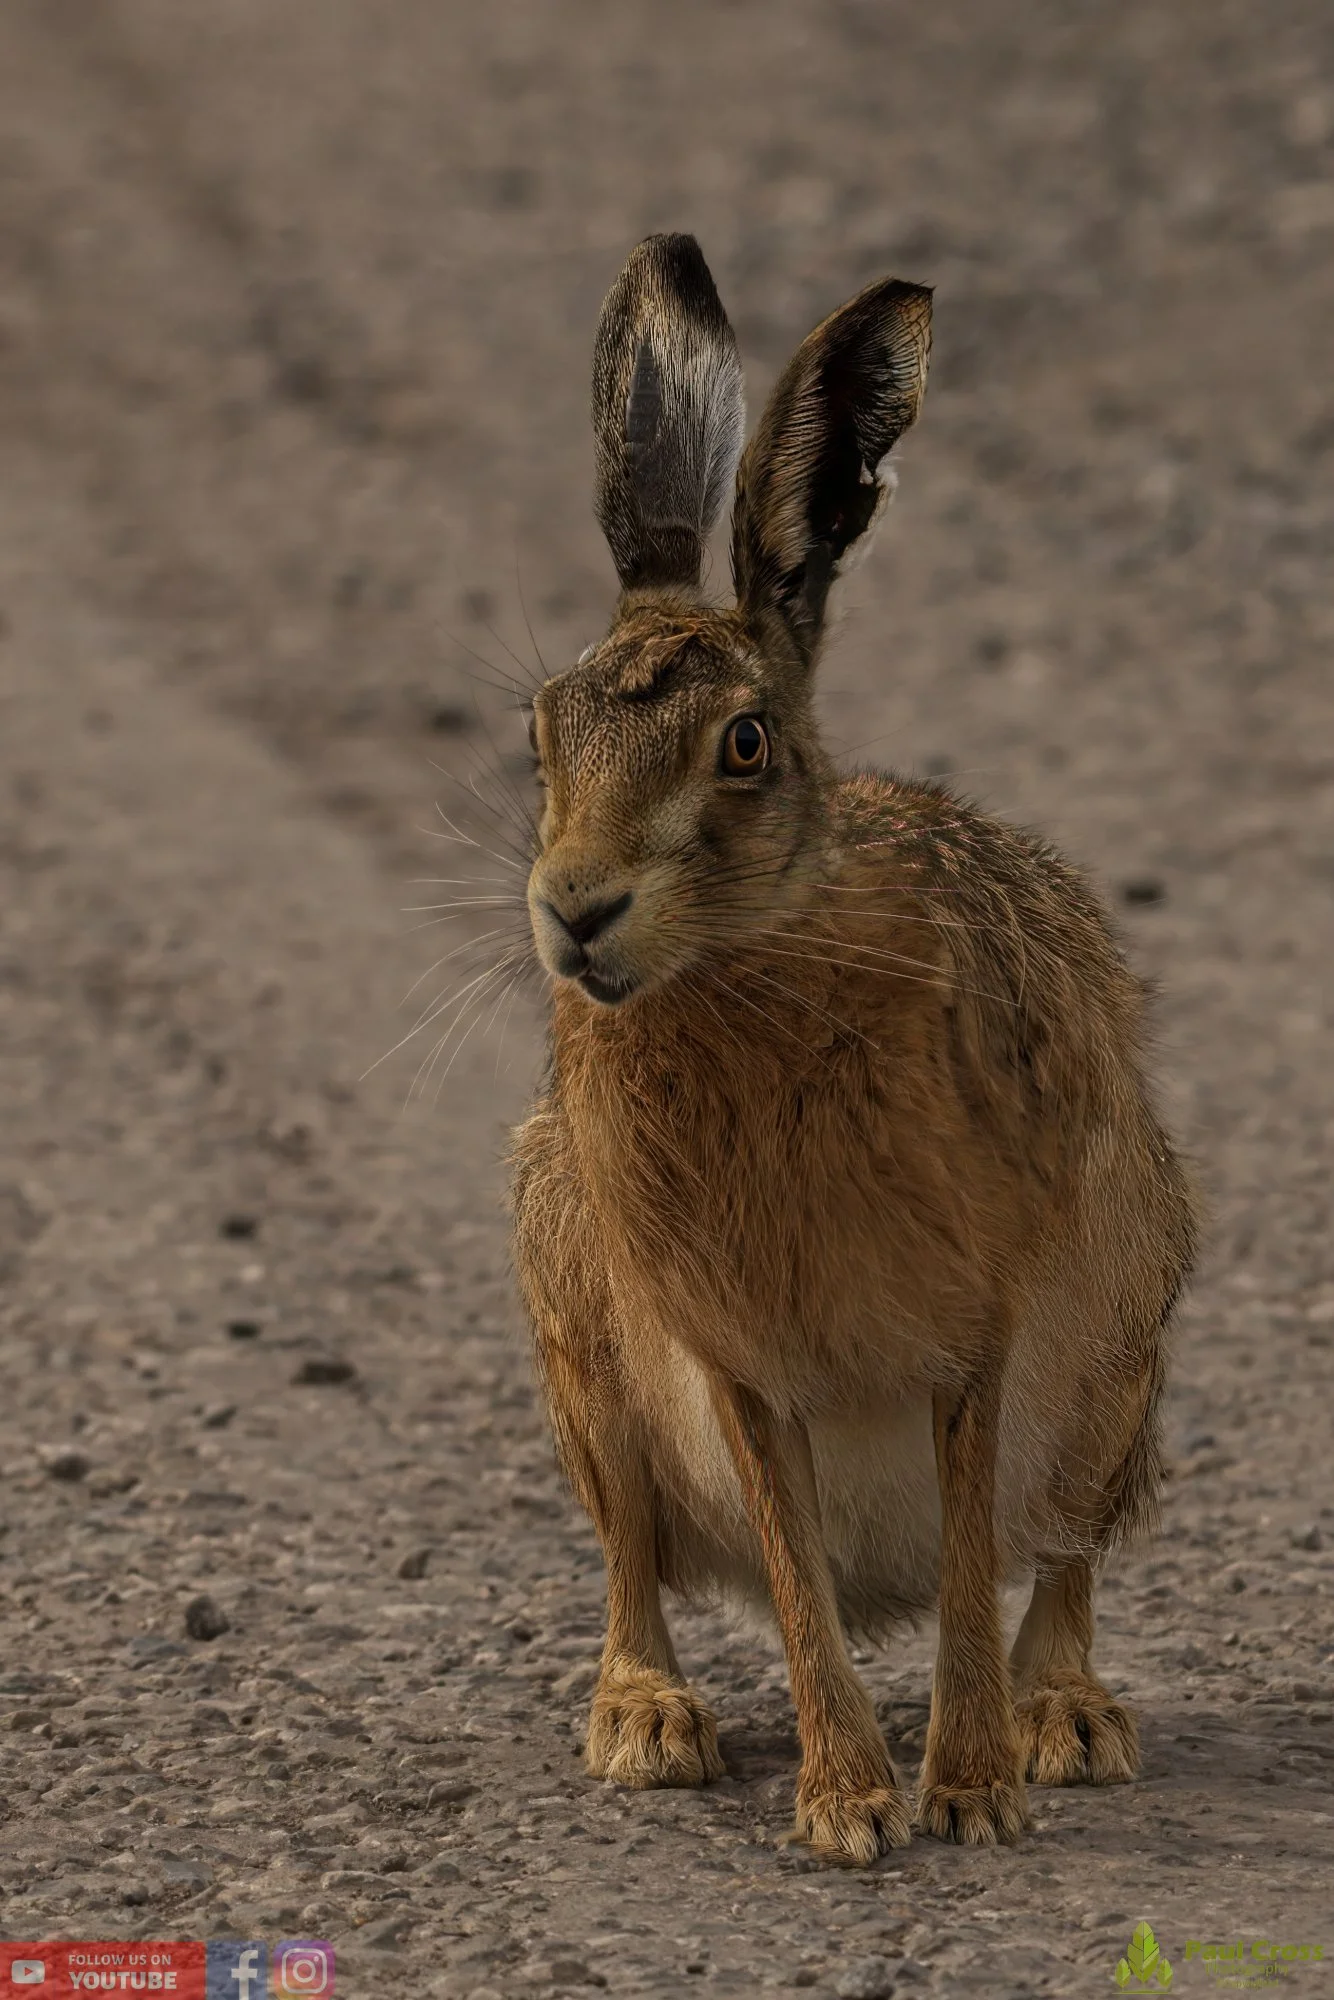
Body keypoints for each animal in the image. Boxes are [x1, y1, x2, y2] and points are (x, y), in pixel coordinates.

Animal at [510, 233, 1198, 1864]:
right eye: (538, 740)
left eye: (744, 746)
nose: (575, 908)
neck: (746, 966)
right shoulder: (739, 1361)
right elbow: (794, 1576)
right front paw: (844, 1809)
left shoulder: (976, 1331)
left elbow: (963, 1562)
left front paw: (970, 1797)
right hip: (577, 1340)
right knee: (638, 1558)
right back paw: (645, 1721)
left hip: (1121, 1342)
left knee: (1054, 1558)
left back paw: (1063, 1720)